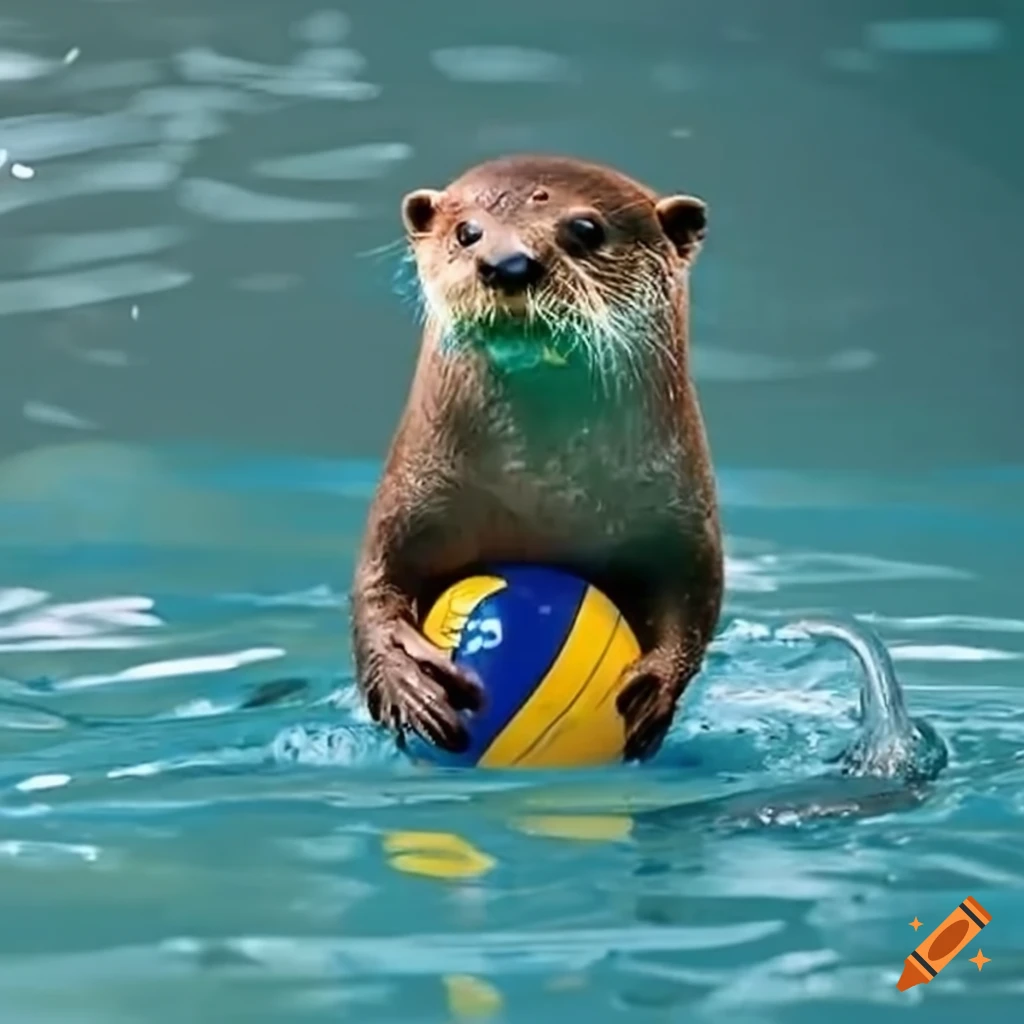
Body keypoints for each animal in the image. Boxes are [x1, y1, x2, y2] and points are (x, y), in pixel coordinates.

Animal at [351, 154, 723, 762]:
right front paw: (406, 680)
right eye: (467, 232)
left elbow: (694, 596)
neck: (543, 488)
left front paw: (655, 687)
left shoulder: (682, 517)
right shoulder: (411, 493)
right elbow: (375, 583)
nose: (507, 263)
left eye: (586, 229)